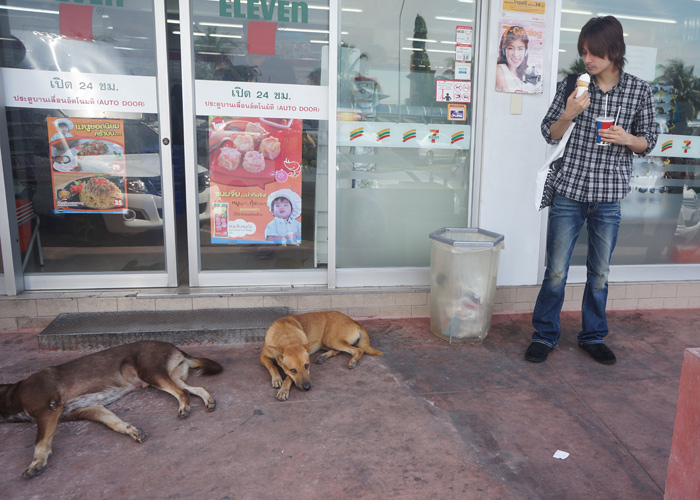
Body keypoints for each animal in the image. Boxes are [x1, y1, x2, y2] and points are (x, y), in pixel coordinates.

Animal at [0, 340, 223, 479]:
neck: (12, 393)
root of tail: (175, 347)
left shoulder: (48, 411)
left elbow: (40, 443)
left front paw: (36, 464)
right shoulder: (91, 409)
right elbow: (115, 423)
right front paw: (132, 430)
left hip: (150, 372)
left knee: (182, 393)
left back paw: (184, 407)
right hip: (170, 376)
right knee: (196, 389)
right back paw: (208, 401)